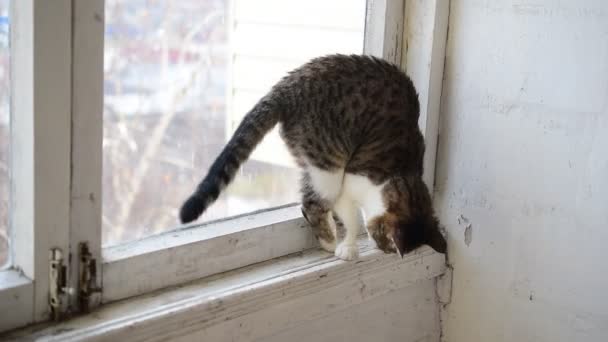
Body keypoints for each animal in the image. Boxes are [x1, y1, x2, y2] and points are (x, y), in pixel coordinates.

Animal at [179, 54, 446, 260]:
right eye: (387, 243)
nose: (382, 251)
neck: (402, 175)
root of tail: (287, 88)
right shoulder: (350, 184)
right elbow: (352, 220)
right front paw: (347, 247)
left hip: (314, 160)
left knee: (308, 195)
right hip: (330, 162)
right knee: (312, 204)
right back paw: (328, 240)